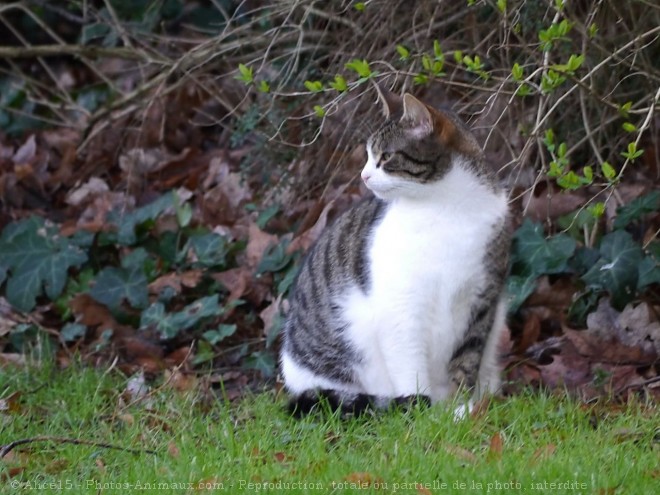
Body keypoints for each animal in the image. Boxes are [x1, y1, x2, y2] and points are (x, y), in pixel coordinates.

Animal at [278, 85, 510, 418]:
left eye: (385, 157)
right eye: (367, 156)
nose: (363, 176)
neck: (446, 207)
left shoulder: (482, 301)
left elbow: (467, 360)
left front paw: (460, 410)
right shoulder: (401, 306)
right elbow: (410, 365)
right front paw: (422, 413)